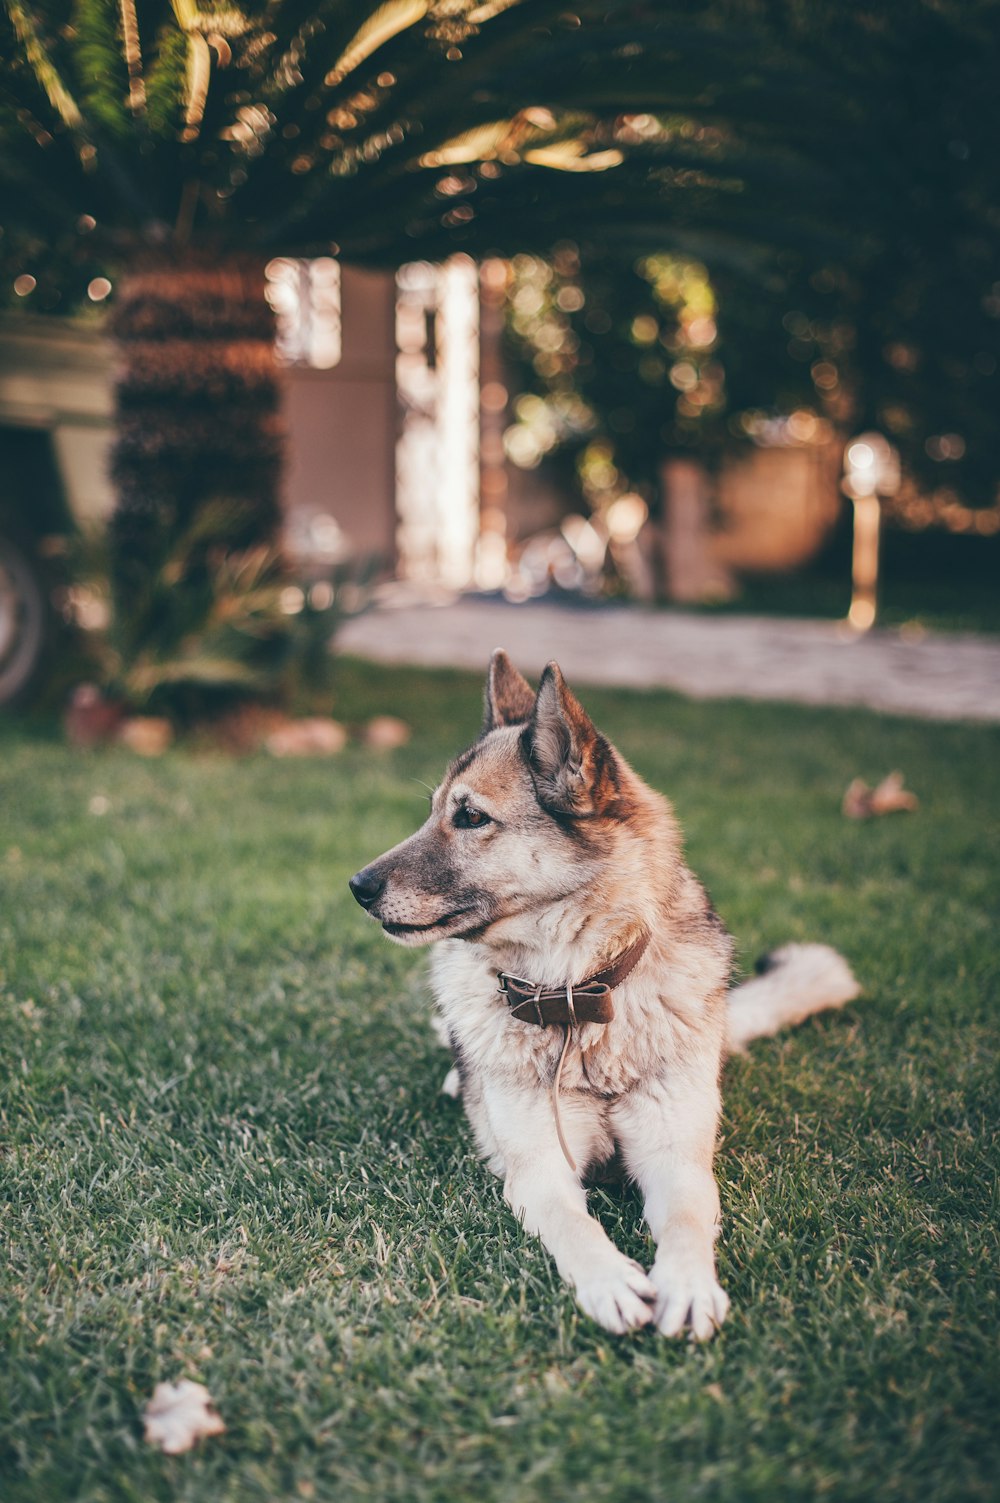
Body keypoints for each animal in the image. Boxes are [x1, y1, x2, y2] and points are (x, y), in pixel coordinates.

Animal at [350, 652, 860, 1334]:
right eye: (434, 812)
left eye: (471, 817)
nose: (357, 886)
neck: (577, 996)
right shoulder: (540, 1172)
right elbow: (576, 1226)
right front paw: (610, 1281)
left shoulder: (678, 1159)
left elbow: (687, 1221)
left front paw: (687, 1285)